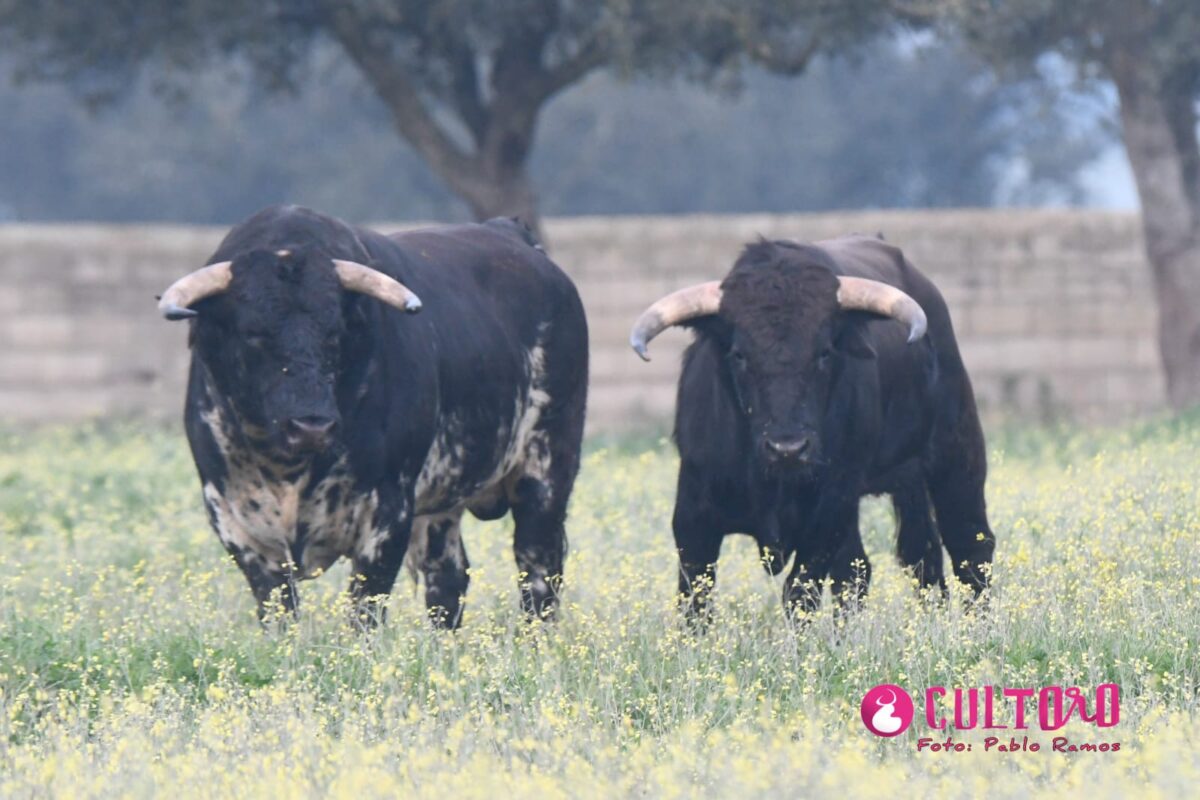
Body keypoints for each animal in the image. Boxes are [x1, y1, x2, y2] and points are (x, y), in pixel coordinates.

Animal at [159, 205, 590, 623]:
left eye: (334, 333)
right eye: (252, 334)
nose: (311, 427)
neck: (287, 468)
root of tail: (512, 232)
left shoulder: (387, 515)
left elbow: (364, 611)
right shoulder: (236, 523)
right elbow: (279, 613)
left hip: (546, 472)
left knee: (539, 573)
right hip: (441, 505)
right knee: (447, 581)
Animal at [628, 235, 993, 618]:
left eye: (824, 352)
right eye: (739, 354)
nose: (788, 448)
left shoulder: (827, 511)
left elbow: (800, 592)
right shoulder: (693, 512)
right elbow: (695, 597)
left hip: (956, 453)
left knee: (970, 545)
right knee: (887, 564)